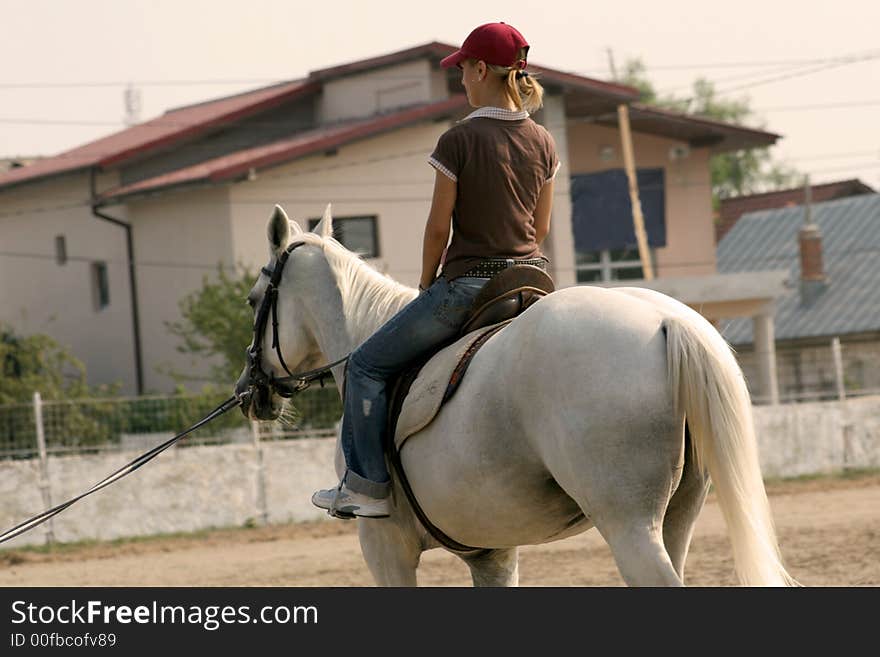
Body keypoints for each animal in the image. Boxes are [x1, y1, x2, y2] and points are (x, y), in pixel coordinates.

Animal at [237, 204, 800, 584]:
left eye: (253, 299)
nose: (249, 391)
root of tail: (666, 320)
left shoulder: (384, 546)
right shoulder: (492, 553)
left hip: (630, 526)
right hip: (675, 520)